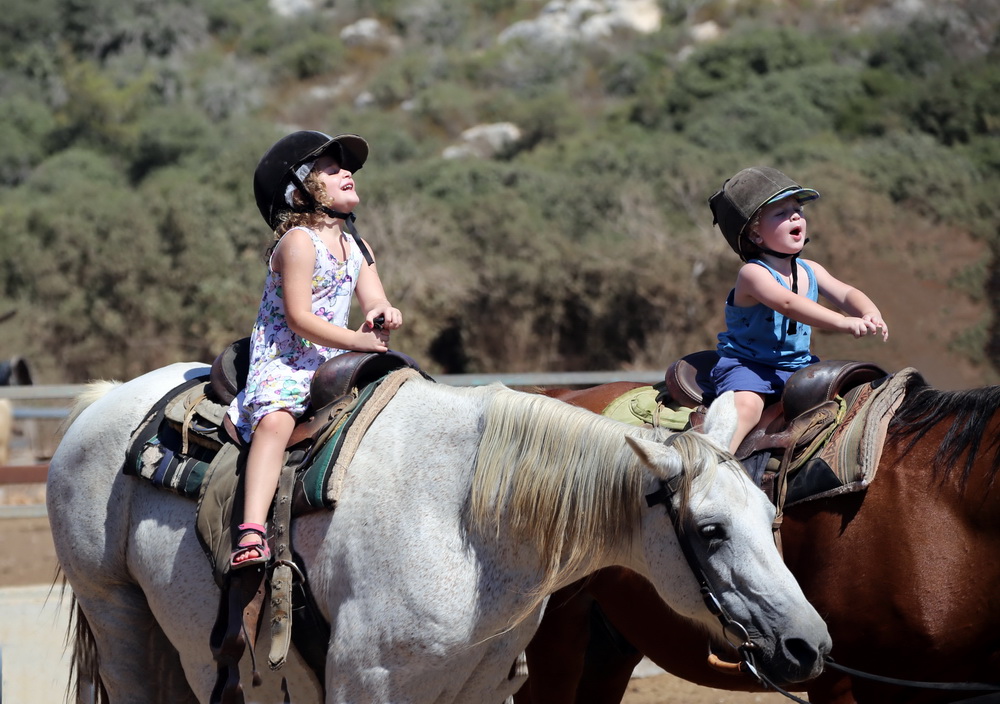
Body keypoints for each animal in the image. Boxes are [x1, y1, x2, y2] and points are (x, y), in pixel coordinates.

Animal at [45, 364, 828, 704]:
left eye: (772, 518)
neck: (465, 520)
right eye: (710, 529)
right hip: (117, 618)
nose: (808, 645)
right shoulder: (367, 683)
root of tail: (108, 399)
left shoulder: (479, 686)